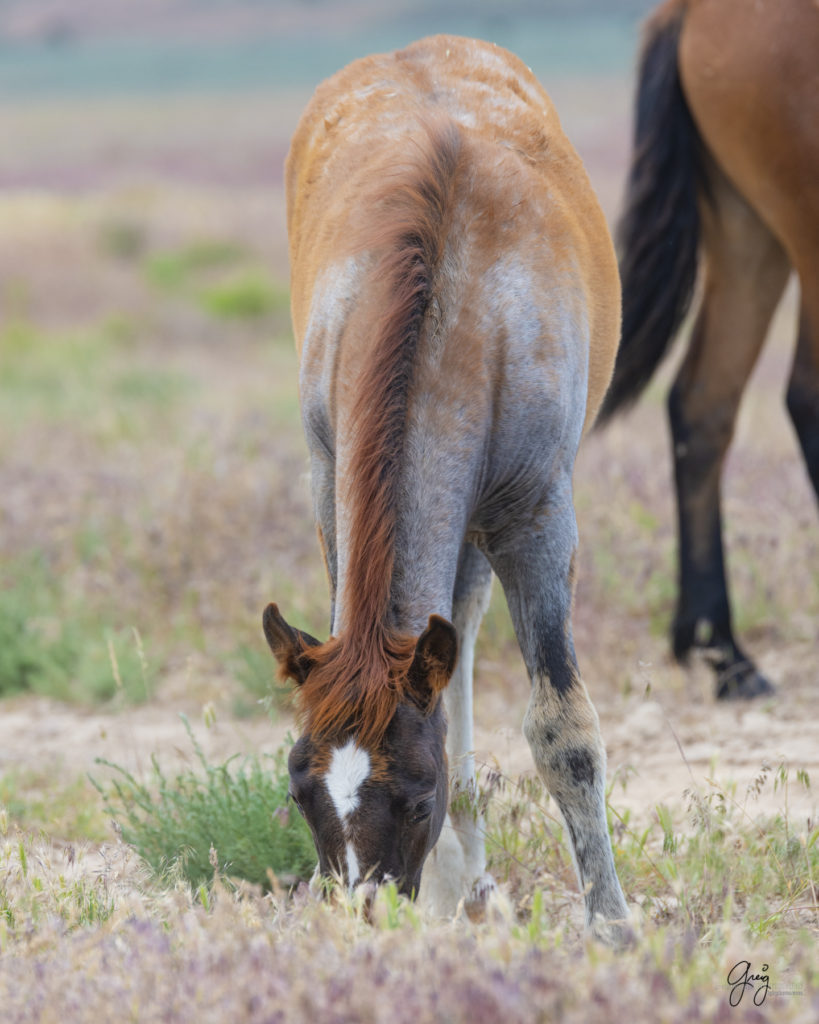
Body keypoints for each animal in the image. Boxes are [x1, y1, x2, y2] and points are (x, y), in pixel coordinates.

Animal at [266, 34, 630, 942]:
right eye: (300, 785)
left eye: (414, 792)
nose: (365, 910)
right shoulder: (331, 491)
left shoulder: (536, 520)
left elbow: (563, 731)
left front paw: (612, 927)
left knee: (460, 629)